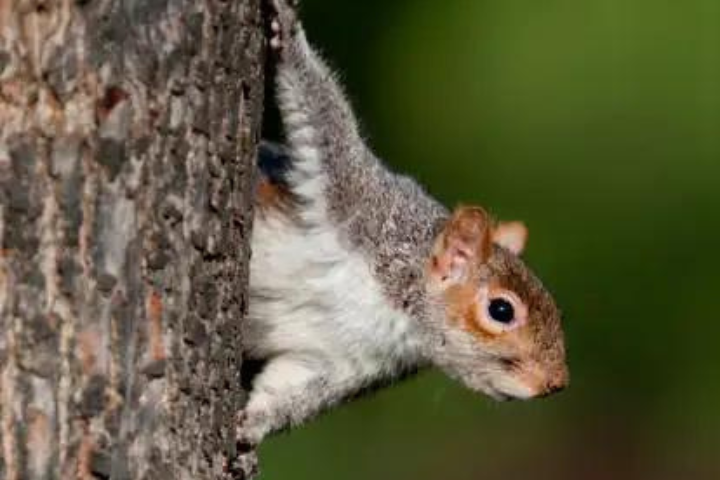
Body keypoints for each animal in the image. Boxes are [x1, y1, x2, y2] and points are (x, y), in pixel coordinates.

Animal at [236, 0, 568, 468]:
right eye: (502, 310)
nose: (556, 382)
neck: (396, 311)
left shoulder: (339, 363)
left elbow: (289, 392)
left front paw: (248, 431)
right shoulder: (359, 203)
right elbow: (323, 118)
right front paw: (287, 30)